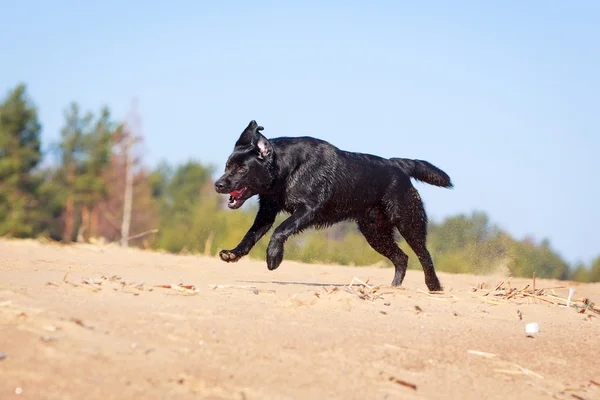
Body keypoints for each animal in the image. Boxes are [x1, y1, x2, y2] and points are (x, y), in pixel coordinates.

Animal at [213, 120, 452, 292]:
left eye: (242, 169)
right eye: (227, 166)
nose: (218, 184)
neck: (288, 169)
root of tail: (397, 165)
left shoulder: (308, 209)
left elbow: (280, 230)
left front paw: (273, 257)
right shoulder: (267, 212)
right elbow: (250, 235)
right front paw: (233, 253)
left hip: (409, 223)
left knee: (424, 255)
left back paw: (434, 286)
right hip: (375, 233)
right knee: (402, 258)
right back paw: (393, 288)